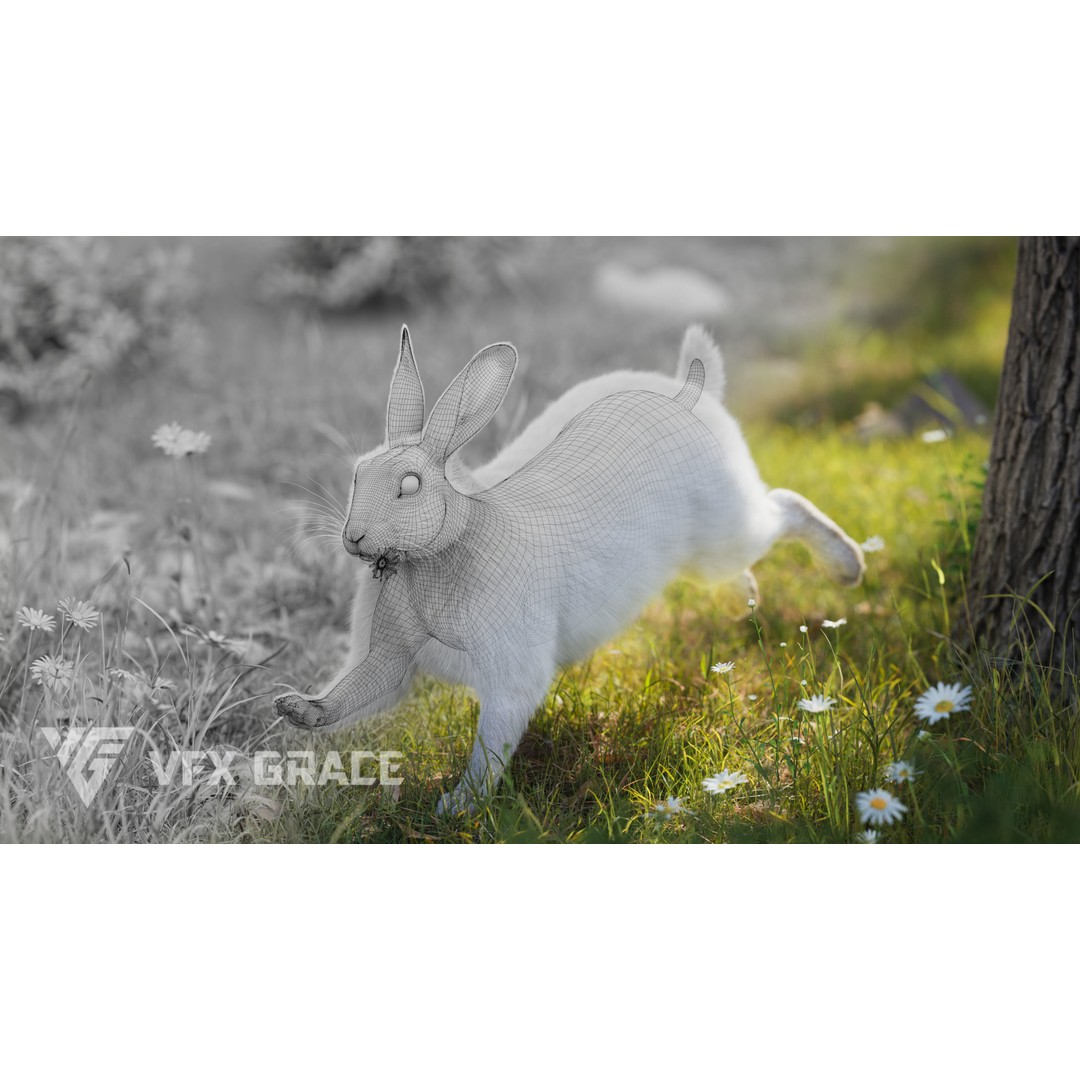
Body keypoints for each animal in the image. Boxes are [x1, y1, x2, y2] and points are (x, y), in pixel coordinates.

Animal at [274, 325, 865, 814]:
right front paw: (298, 709)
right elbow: (356, 690)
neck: (446, 549)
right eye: (358, 473)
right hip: (709, 557)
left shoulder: (512, 674)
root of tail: (690, 394)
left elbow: (492, 744)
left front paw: (458, 806)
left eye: (410, 485)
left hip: (727, 530)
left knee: (784, 507)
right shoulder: (391, 654)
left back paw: (849, 567)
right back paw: (749, 599)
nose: (353, 537)